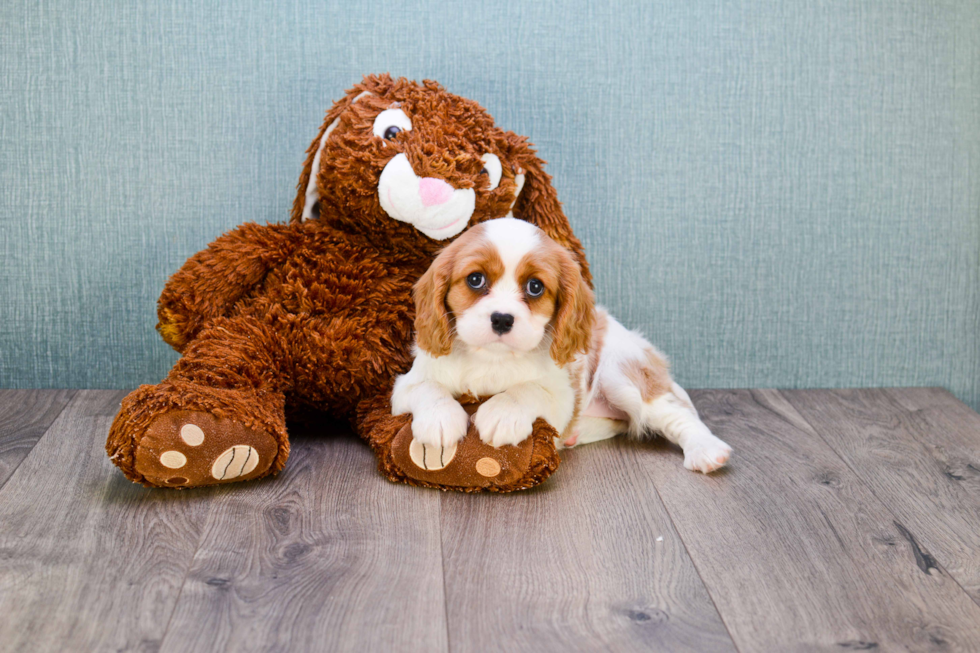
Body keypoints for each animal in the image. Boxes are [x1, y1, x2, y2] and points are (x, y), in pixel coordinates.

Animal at [394, 216, 732, 472]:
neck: (492, 358)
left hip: (620, 372)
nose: (502, 319)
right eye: (475, 280)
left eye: (535, 286)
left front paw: (502, 413)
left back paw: (706, 449)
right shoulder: (404, 387)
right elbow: (427, 387)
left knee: (676, 414)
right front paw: (440, 418)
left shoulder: (561, 397)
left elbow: (528, 390)